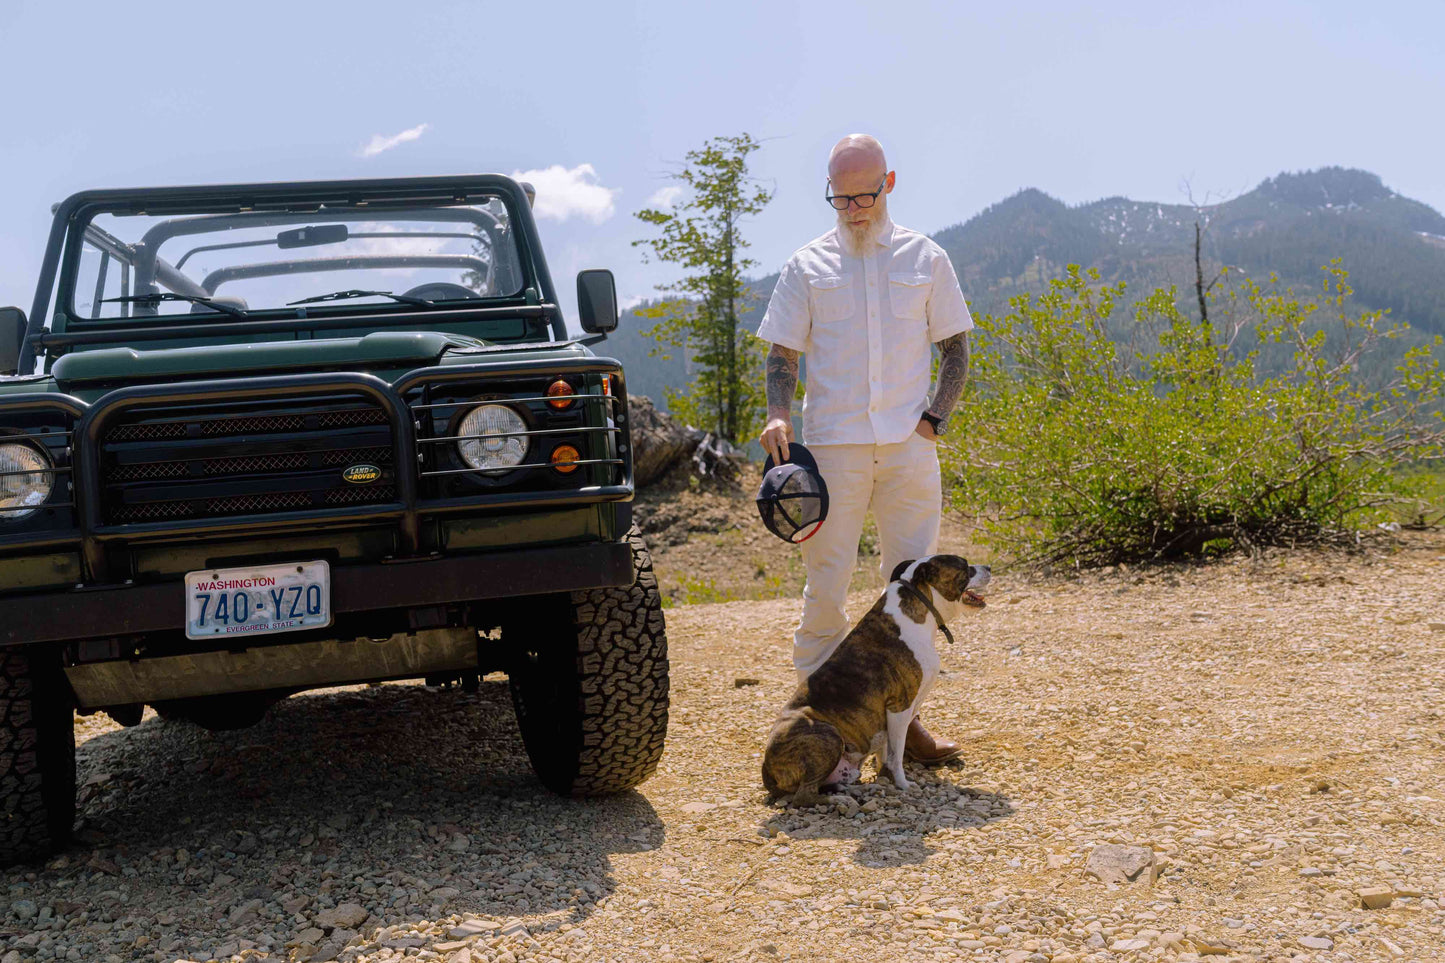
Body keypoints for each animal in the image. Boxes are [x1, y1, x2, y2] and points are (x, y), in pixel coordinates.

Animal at [762, 552, 988, 798]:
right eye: (965, 567)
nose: (988, 567)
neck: (919, 603)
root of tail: (766, 769)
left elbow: (885, 752)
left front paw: (885, 777)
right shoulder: (899, 707)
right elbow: (896, 753)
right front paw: (903, 783)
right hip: (827, 733)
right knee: (805, 796)